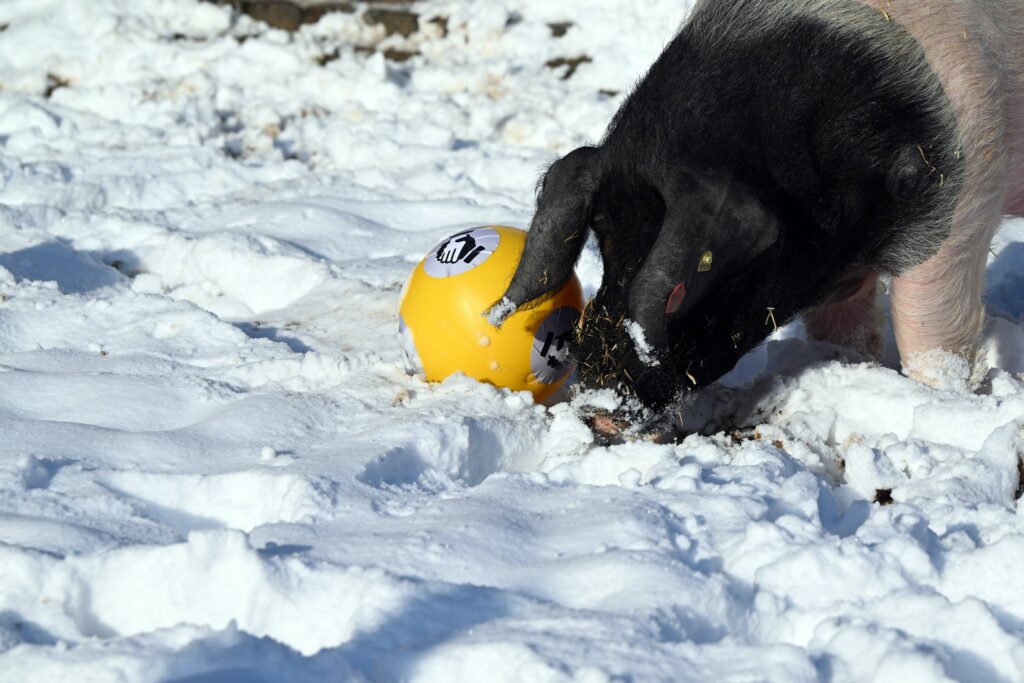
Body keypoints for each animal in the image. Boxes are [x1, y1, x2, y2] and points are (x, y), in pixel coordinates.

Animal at [485, 0, 1024, 419]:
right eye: (606, 243)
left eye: (678, 290)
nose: (596, 409)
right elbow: (844, 329)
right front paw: (850, 364)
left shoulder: (964, 187)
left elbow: (931, 330)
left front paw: (945, 396)